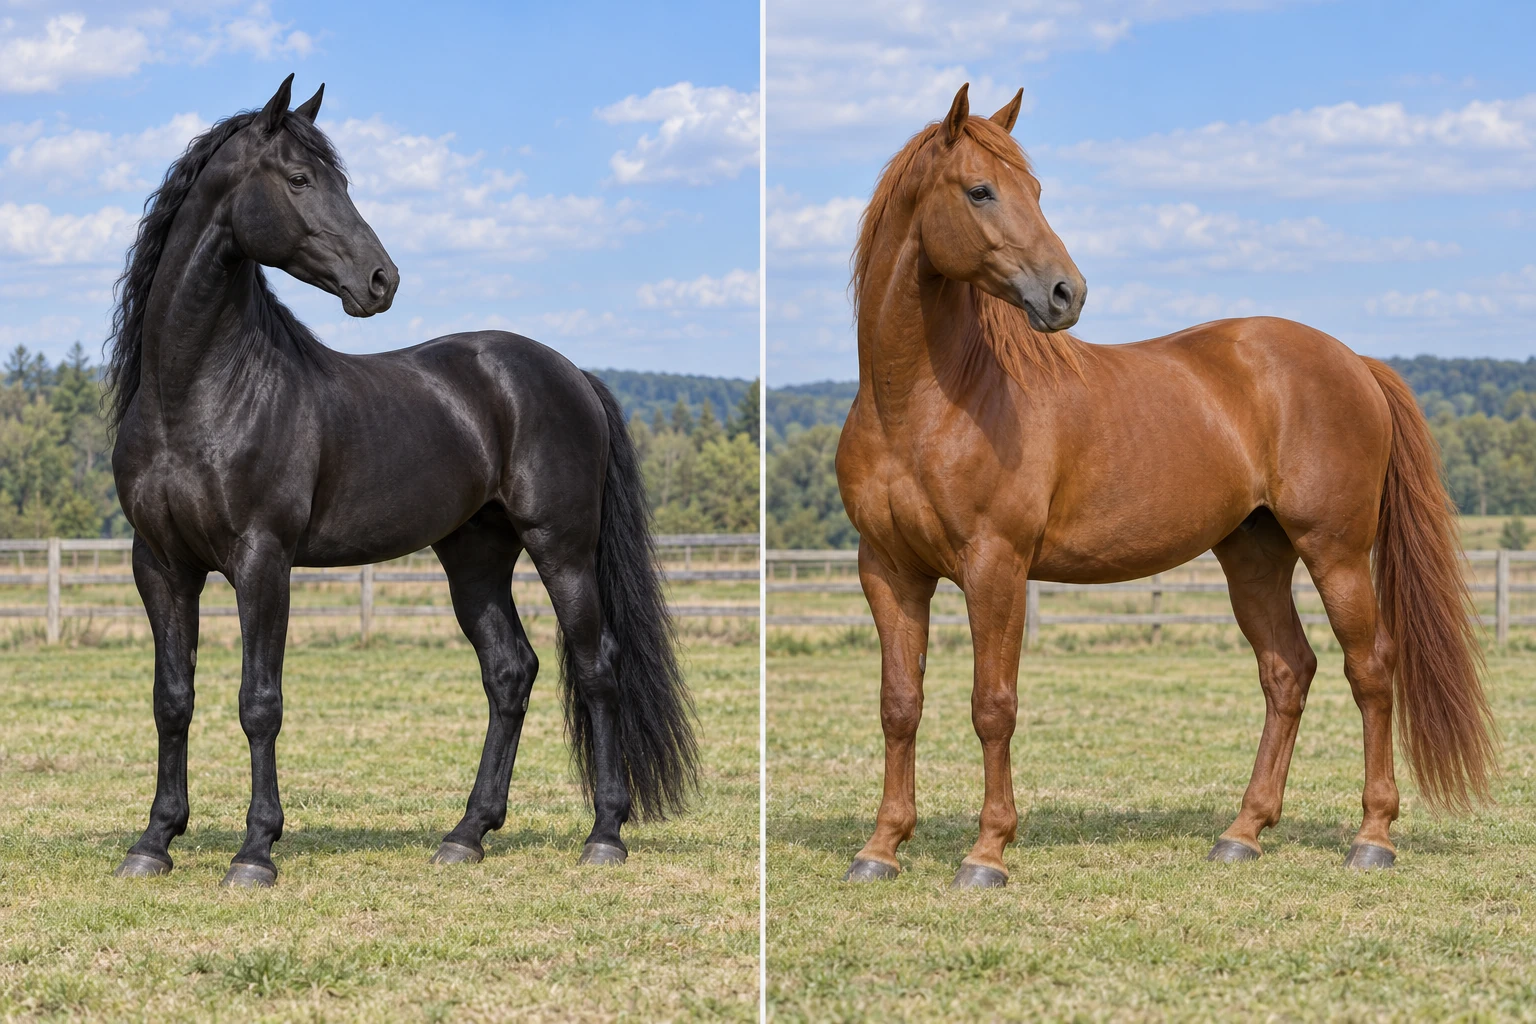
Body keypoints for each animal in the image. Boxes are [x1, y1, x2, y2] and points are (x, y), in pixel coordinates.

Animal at [105, 75, 696, 888]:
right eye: (299, 179)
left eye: (339, 181)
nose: (381, 279)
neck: (196, 394)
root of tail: (569, 372)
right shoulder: (161, 565)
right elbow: (172, 699)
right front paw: (154, 841)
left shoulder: (263, 561)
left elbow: (260, 703)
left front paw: (256, 851)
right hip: (474, 556)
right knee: (510, 672)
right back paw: (467, 833)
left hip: (563, 548)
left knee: (596, 665)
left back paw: (605, 833)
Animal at [834, 83, 1496, 889]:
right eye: (981, 190)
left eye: (1036, 191)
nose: (1067, 293)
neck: (927, 403)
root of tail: (1353, 361)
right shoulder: (889, 570)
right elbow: (899, 704)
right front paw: (881, 847)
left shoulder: (995, 566)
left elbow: (993, 706)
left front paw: (987, 853)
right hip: (1254, 556)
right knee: (1288, 672)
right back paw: (1243, 832)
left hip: (1335, 552)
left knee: (1370, 670)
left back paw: (1373, 837)